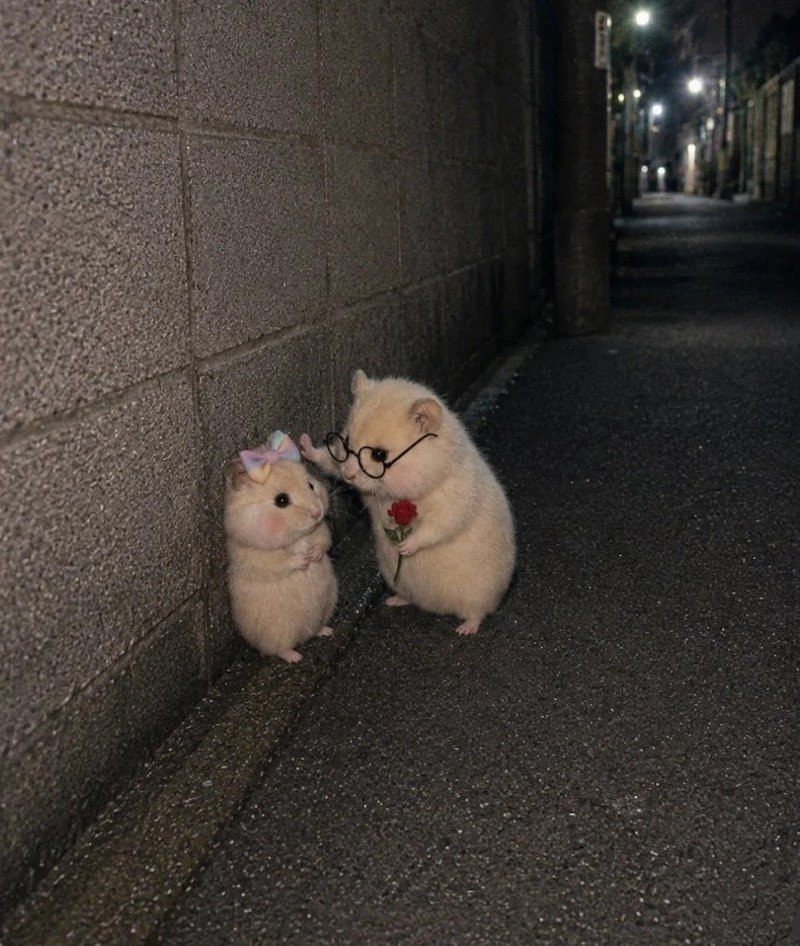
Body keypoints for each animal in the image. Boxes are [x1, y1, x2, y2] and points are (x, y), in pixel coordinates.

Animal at [224, 447, 337, 663]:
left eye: (311, 485)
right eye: (281, 500)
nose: (317, 511)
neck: (296, 539)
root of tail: (304, 636)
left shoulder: (320, 530)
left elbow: (323, 539)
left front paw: (313, 555)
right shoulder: (256, 555)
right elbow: (280, 562)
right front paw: (304, 560)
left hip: (327, 605)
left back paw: (326, 631)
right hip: (277, 632)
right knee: (279, 649)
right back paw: (295, 657)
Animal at [300, 370, 515, 636]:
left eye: (379, 455)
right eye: (346, 442)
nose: (349, 475)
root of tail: (435, 606)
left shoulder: (453, 500)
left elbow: (437, 526)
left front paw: (404, 547)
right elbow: (329, 461)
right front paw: (304, 444)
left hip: (479, 594)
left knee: (477, 612)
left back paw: (465, 629)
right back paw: (395, 601)